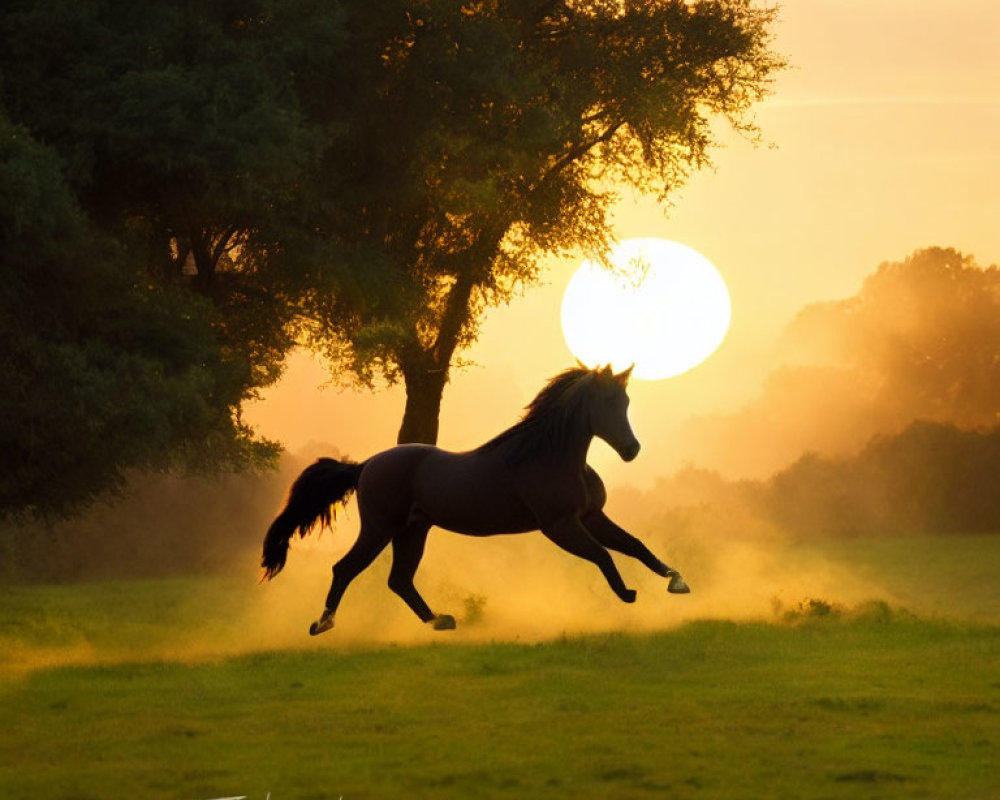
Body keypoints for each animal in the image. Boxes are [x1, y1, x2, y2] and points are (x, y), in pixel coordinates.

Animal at [260, 366, 688, 636]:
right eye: (608, 402)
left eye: (626, 401)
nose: (631, 450)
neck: (550, 456)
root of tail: (365, 466)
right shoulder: (560, 525)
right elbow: (603, 554)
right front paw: (628, 594)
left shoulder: (592, 515)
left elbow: (634, 545)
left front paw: (677, 582)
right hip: (380, 529)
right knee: (345, 569)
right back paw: (322, 624)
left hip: (413, 531)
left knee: (399, 580)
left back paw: (439, 621)